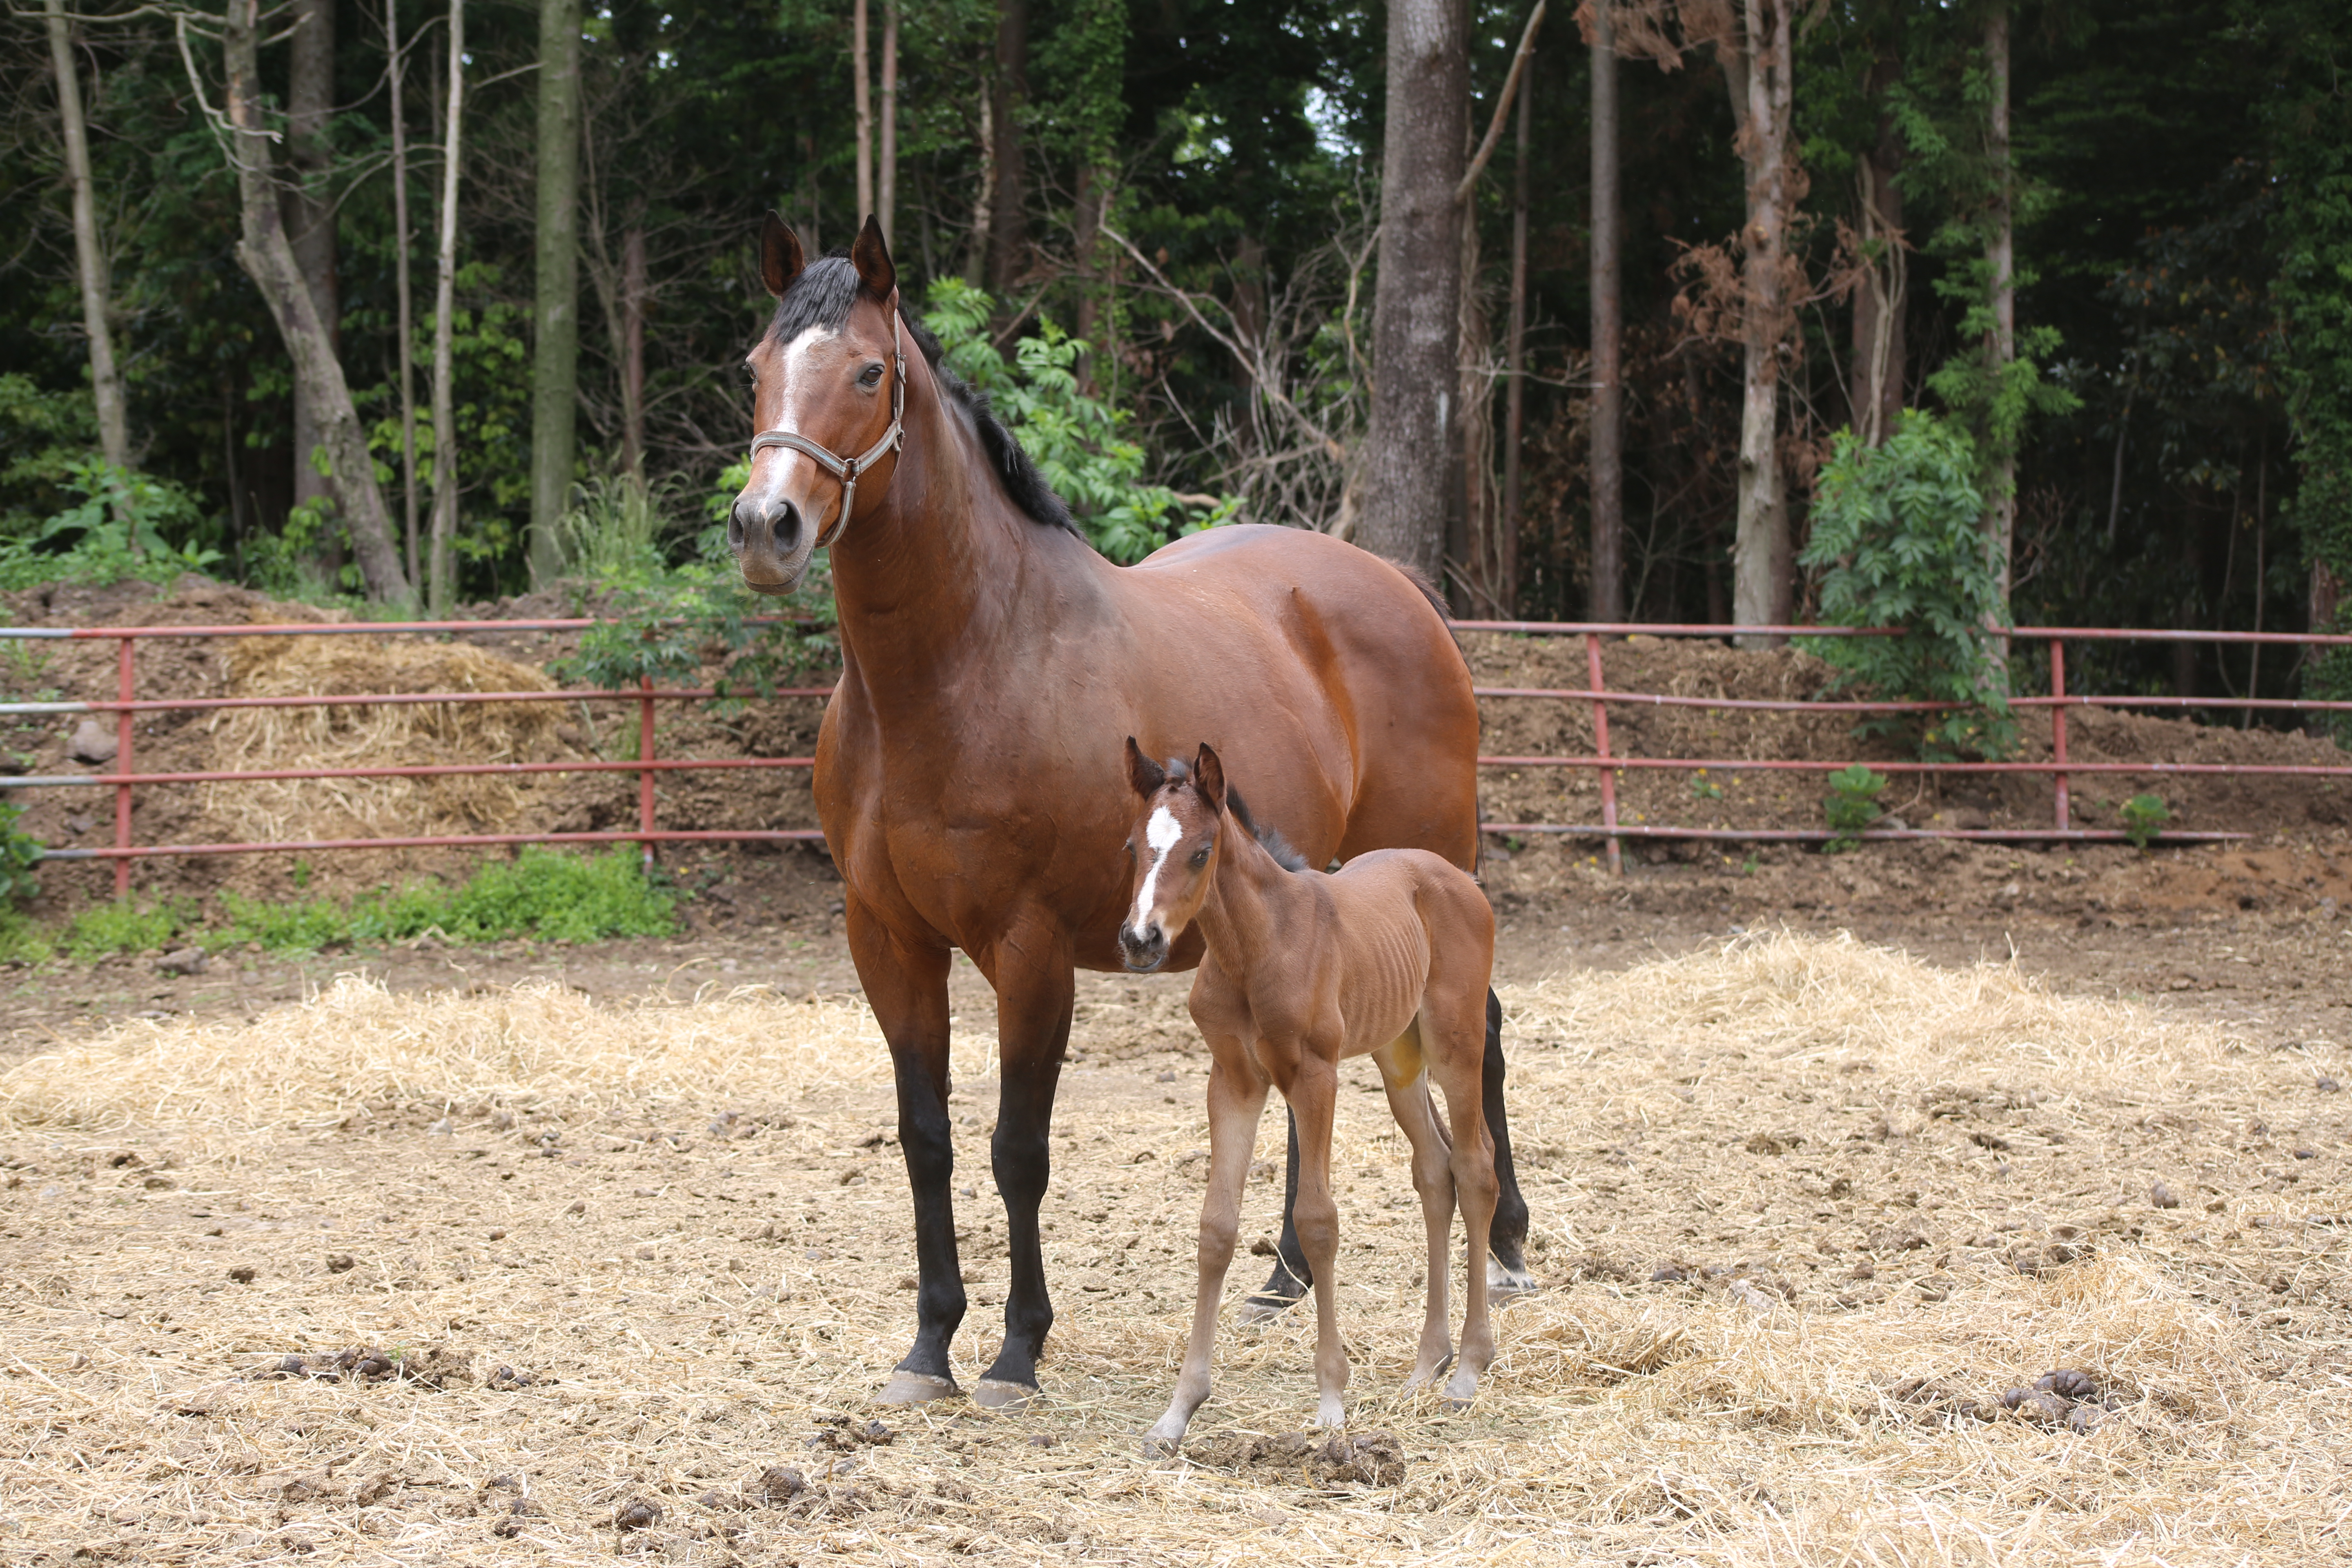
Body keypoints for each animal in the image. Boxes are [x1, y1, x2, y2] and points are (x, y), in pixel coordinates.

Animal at [1110, 738, 1496, 1448]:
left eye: (1201, 851)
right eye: (1131, 847)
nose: (1140, 940)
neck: (1257, 943)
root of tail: (1456, 877)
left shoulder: (1315, 1076)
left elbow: (1317, 1222)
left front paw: (1331, 1402)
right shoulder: (1232, 1079)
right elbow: (1216, 1227)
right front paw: (1178, 1411)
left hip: (1456, 1045)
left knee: (1477, 1168)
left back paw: (1468, 1372)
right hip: (1399, 1056)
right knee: (1436, 1172)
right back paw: (1427, 1366)